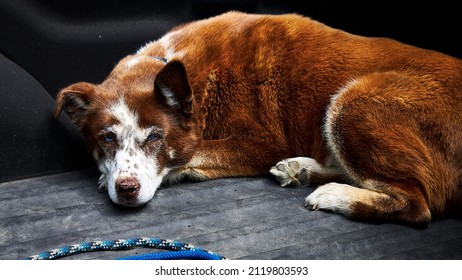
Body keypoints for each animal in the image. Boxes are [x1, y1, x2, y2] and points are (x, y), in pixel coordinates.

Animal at [55, 12, 462, 225]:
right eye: (107, 138)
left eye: (155, 137)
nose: (126, 189)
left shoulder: (263, 142)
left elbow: (193, 151)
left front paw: (171, 168)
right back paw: (304, 169)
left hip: (353, 101)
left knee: (418, 204)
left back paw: (334, 194)